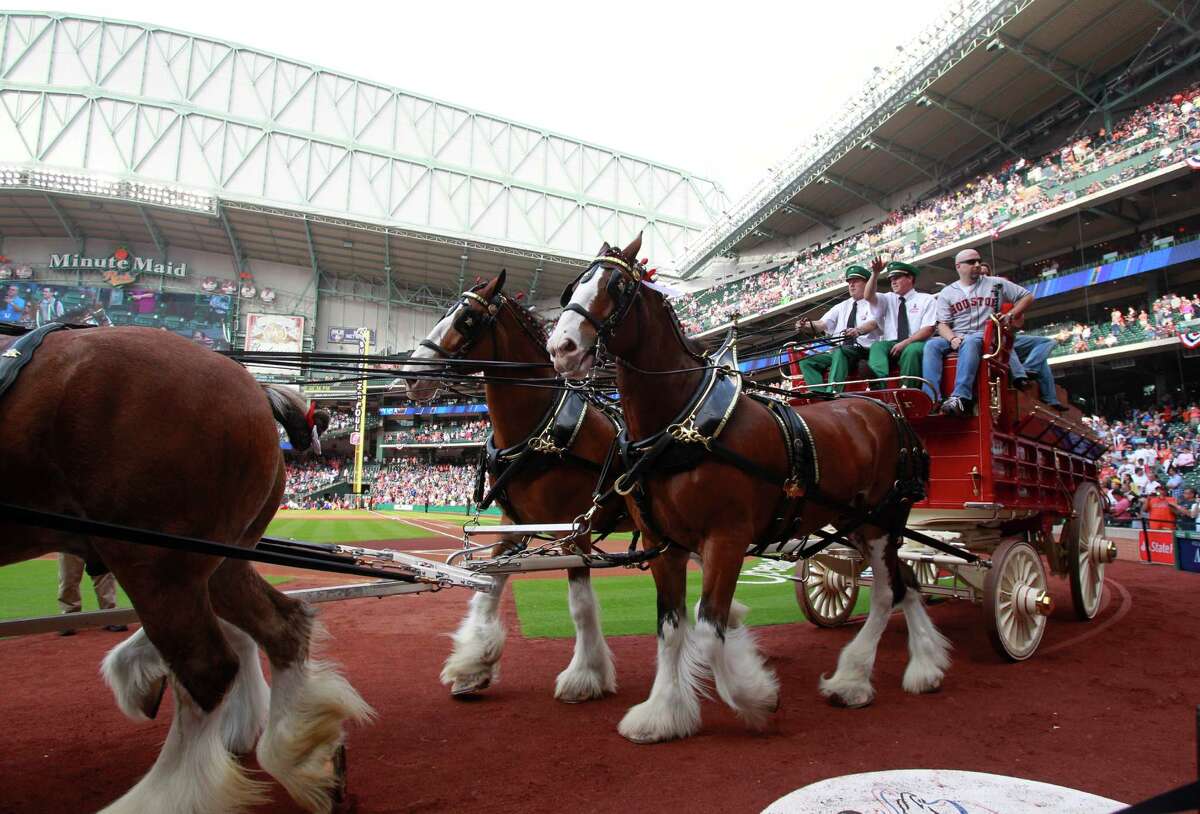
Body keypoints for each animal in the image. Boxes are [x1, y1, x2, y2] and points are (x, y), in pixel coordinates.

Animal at [0, 326, 369, 814]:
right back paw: (301, 755)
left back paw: (164, 795)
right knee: (281, 626)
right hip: (220, 559)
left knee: (207, 667)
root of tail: (251, 382)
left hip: (156, 559)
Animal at [400, 272, 628, 701]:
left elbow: (580, 604)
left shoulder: (576, 530)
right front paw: (473, 665)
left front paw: (585, 675)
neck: (541, 430)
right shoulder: (513, 521)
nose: (411, 374)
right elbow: (489, 583)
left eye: (467, 319)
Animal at [549, 236, 950, 744]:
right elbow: (671, 628)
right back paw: (924, 667)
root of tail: (886, 407)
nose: (560, 348)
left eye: (617, 286)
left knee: (885, 593)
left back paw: (853, 679)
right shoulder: (664, 545)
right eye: (573, 286)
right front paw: (663, 712)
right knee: (906, 583)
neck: (681, 423)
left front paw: (756, 697)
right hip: (858, 521)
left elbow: (708, 627)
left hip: (883, 520)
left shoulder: (727, 538)